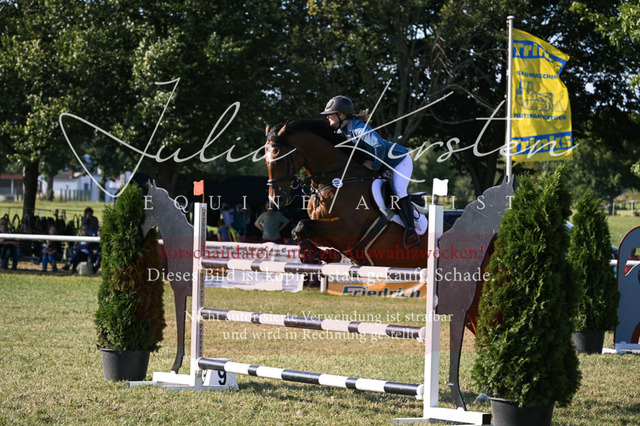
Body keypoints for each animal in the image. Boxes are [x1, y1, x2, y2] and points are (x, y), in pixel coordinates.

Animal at [264, 118, 514, 409]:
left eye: (278, 157)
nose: (276, 200)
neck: (336, 180)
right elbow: (302, 230)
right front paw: (316, 257)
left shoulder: (347, 230)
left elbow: (302, 226)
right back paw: (489, 390)